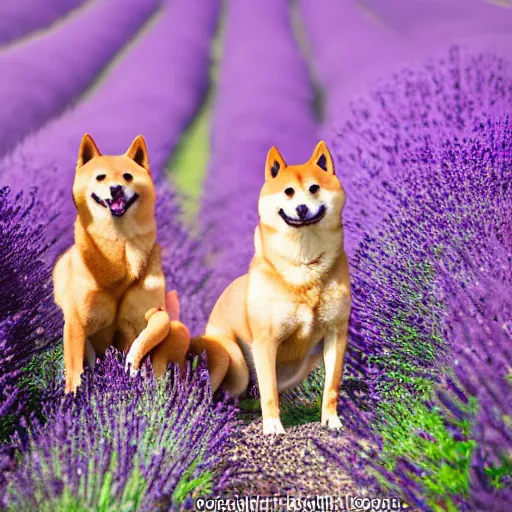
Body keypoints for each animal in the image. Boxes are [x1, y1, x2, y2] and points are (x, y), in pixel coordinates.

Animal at [53, 134, 190, 394]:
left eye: (128, 176)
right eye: (100, 177)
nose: (115, 188)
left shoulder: (154, 312)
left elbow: (152, 331)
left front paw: (132, 364)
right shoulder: (76, 320)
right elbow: (74, 364)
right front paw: (73, 394)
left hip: (179, 334)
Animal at [192, 142, 352, 434]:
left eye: (314, 188)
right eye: (288, 191)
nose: (301, 208)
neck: (304, 263)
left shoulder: (336, 334)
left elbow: (331, 387)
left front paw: (331, 420)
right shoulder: (266, 342)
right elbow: (268, 391)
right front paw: (273, 427)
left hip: (302, 367)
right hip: (232, 359)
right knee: (211, 390)